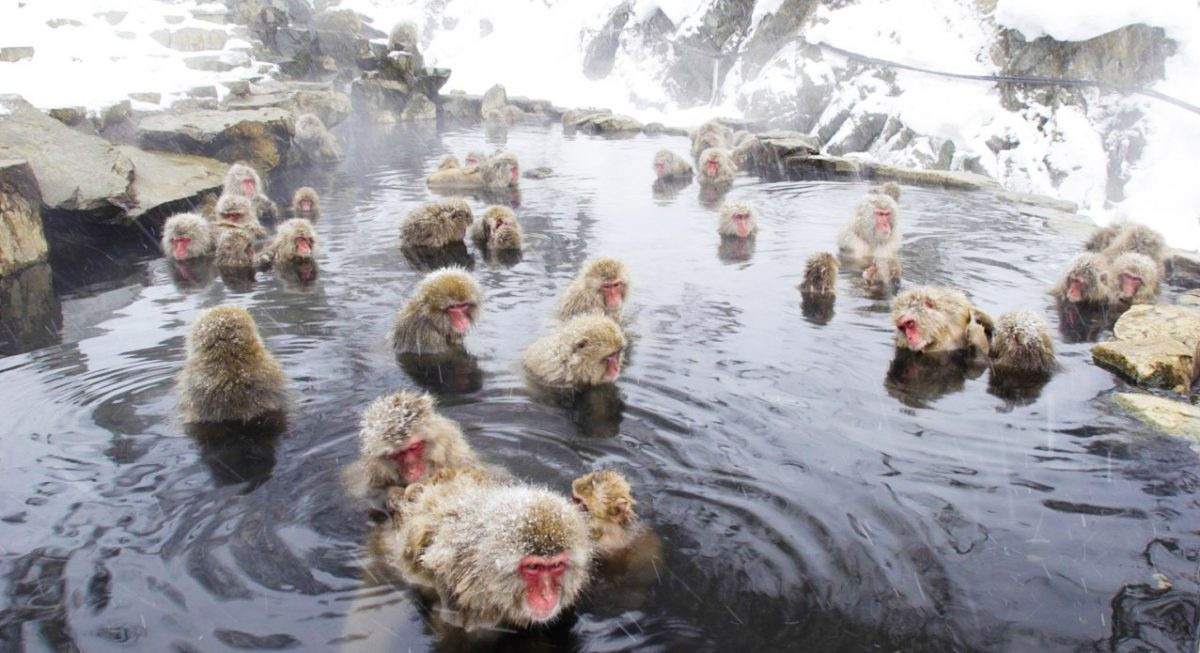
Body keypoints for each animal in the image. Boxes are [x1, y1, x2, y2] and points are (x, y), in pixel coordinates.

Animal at [342, 391, 481, 513]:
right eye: (398, 454)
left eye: (414, 447)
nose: (412, 469)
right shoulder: (374, 469)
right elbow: (368, 494)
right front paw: (393, 495)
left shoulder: (458, 458)